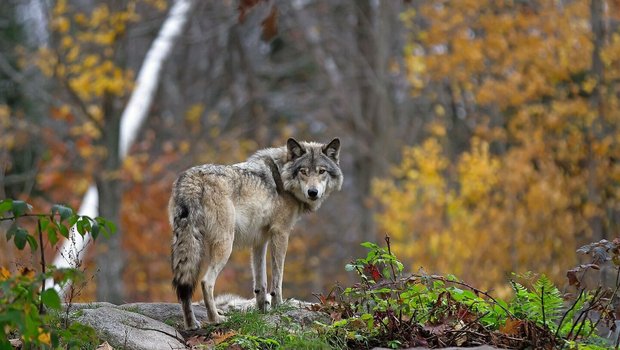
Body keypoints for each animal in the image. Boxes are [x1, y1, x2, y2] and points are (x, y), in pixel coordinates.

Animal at [171, 138, 344, 330]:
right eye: (303, 171)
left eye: (321, 171)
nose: (312, 192)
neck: (282, 178)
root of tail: (192, 179)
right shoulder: (281, 233)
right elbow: (277, 278)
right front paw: (278, 306)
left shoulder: (260, 241)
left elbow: (260, 282)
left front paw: (263, 310)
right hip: (225, 245)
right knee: (205, 282)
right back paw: (216, 319)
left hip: (187, 246)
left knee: (184, 286)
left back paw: (191, 324)